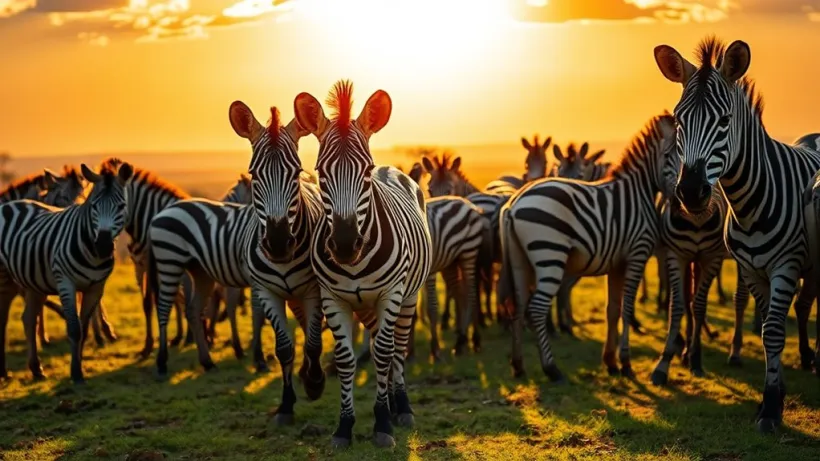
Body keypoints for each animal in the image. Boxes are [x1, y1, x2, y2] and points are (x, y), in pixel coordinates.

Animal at [0, 161, 132, 383]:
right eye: (94, 205)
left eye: (122, 206)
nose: (103, 246)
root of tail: (7, 205)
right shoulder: (66, 283)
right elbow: (74, 328)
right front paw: (76, 373)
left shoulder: (96, 287)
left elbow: (83, 328)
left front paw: (81, 362)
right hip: (7, 280)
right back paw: (4, 371)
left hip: (32, 282)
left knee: (28, 319)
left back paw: (36, 369)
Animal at [293, 81, 432, 448]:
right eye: (320, 172)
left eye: (366, 171)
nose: (344, 245)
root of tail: (394, 169)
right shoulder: (332, 298)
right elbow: (346, 359)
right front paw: (345, 426)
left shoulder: (391, 293)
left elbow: (384, 354)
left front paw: (383, 424)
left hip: (408, 297)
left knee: (397, 348)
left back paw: (401, 407)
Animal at [499, 112, 675, 381]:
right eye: (671, 153)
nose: (687, 194)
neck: (639, 191)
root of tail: (514, 204)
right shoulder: (637, 254)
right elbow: (627, 308)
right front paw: (625, 363)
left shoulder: (617, 263)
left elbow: (613, 309)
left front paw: (610, 362)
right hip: (550, 255)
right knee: (536, 308)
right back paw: (552, 369)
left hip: (520, 261)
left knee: (518, 307)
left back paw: (518, 365)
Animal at [654, 37, 820, 432]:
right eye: (680, 120)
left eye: (725, 121)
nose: (691, 193)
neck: (750, 204)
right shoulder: (751, 269)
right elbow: (767, 330)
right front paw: (774, 394)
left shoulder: (785, 265)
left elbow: (773, 330)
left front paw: (771, 409)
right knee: (804, 305)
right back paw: (807, 357)